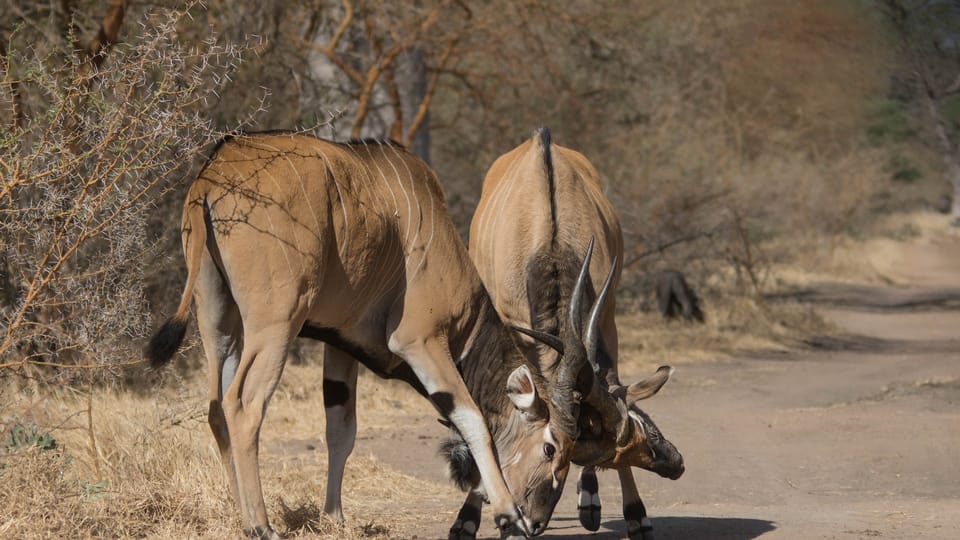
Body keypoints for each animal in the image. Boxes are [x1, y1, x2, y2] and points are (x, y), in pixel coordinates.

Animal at [144, 133, 608, 536]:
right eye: (551, 448)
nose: (537, 521)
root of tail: (213, 176)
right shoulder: (421, 340)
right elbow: (472, 416)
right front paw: (507, 513)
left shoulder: (340, 346)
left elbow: (341, 430)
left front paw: (335, 517)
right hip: (275, 325)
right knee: (243, 405)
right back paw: (261, 526)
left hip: (220, 326)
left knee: (216, 408)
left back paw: (243, 519)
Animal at [470, 127, 684, 540]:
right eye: (551, 449)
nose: (531, 522)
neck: (546, 234)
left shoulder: (605, 315)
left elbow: (610, 383)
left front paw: (636, 516)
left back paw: (592, 505)